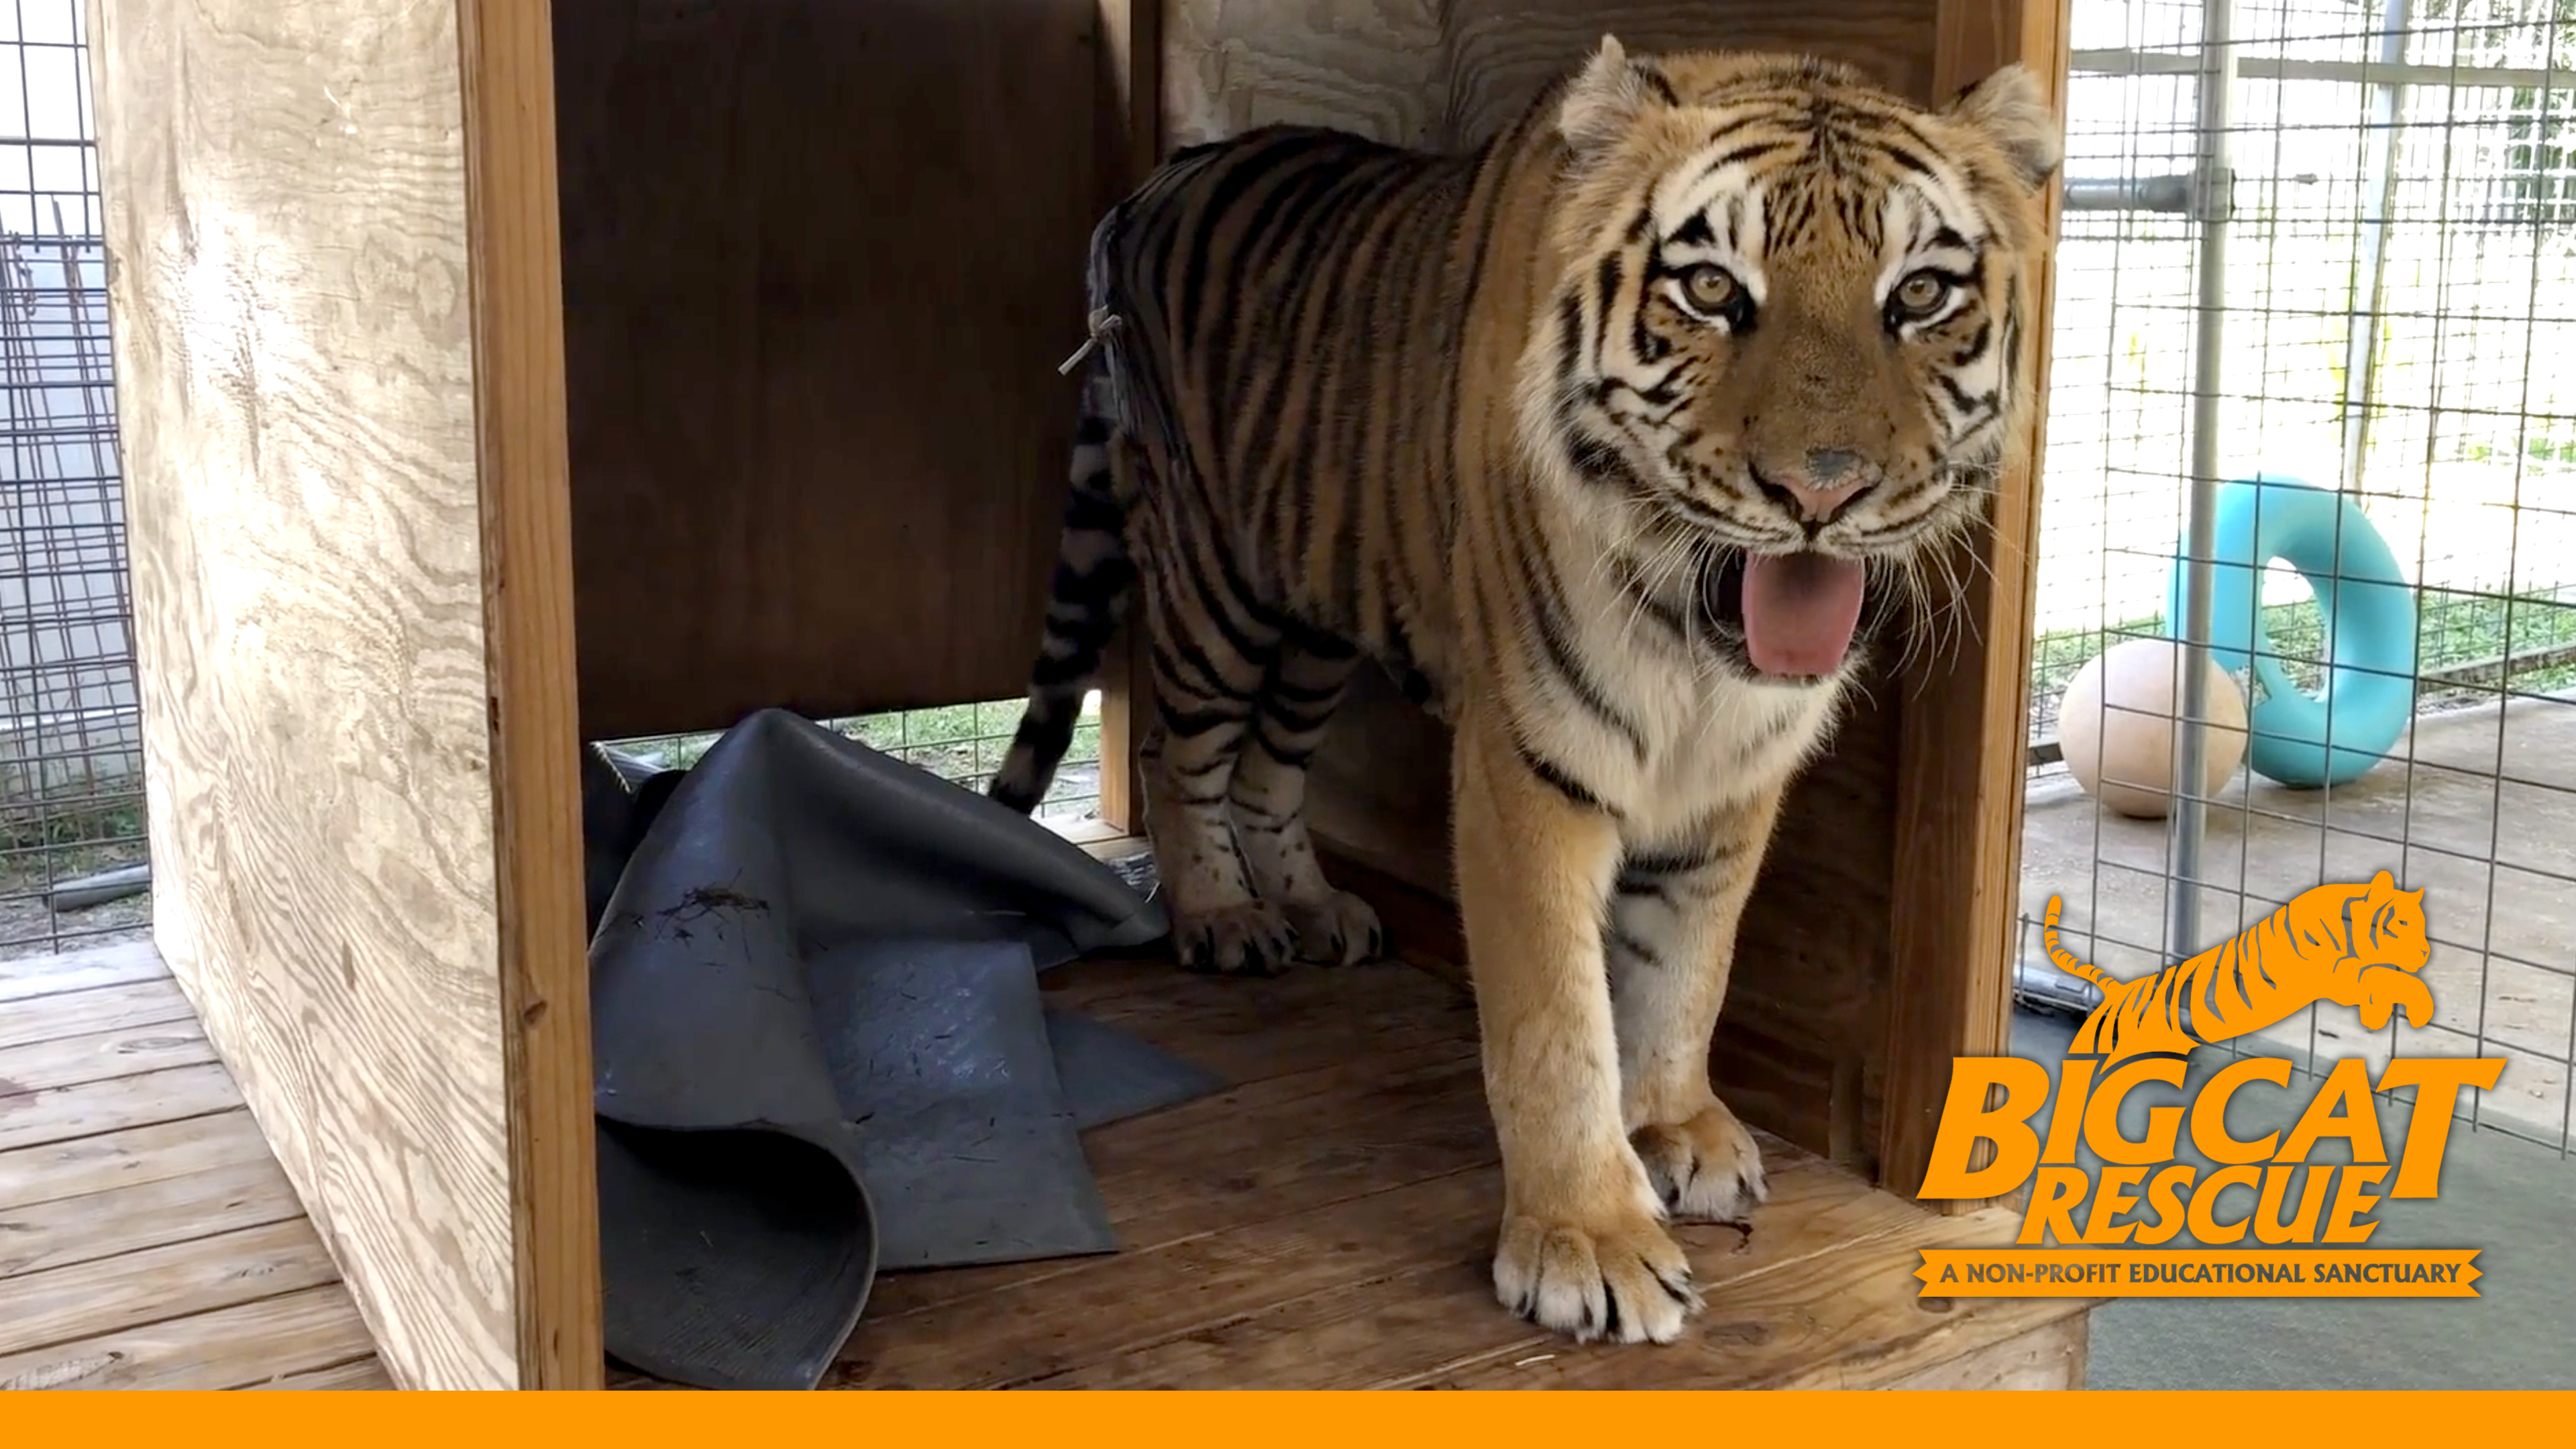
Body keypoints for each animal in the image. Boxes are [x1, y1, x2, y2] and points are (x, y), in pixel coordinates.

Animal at [986, 37, 2062, 1345]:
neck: (1695, 642)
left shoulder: (1737, 781)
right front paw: (1588, 1242)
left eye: (1919, 297)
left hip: (1318, 612)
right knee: (1181, 757)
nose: (1823, 491)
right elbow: (1557, 1015)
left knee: (1269, 771)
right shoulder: (1530, 763)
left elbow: (1689, 968)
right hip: (1213, 584)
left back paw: (1314, 906)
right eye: (1712, 291)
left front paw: (1676, 1128)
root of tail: (1153, 181)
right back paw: (1223, 918)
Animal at [2044, 871, 2435, 1068]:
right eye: (2403, 923)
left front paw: (2377, 1013)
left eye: (2422, 924)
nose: (2424, 953)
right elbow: (2386, 977)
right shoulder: (2332, 972)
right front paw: (2420, 1006)